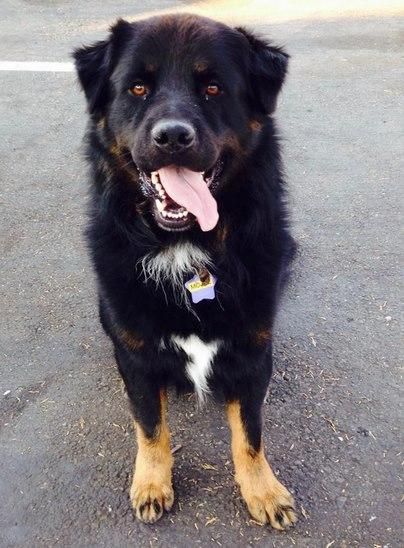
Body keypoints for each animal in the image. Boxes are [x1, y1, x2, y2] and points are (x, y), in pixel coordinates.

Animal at [73, 11, 296, 528]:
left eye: (213, 88)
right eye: (137, 88)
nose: (172, 137)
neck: (184, 246)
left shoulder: (252, 353)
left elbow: (250, 433)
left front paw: (262, 490)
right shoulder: (136, 357)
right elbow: (150, 426)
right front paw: (152, 483)